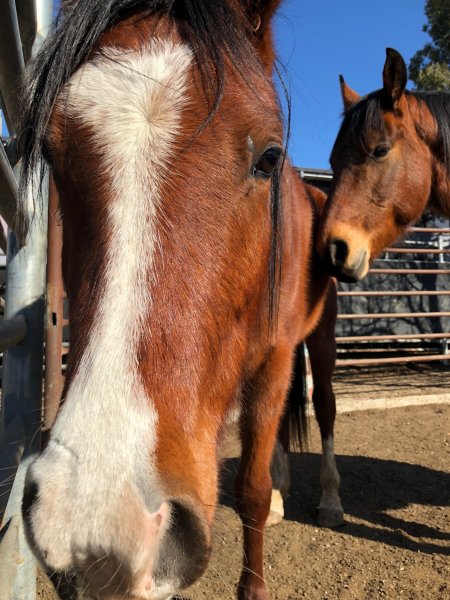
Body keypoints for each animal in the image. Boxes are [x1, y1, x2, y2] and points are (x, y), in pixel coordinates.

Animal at [18, 2, 342, 596]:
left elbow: (250, 489)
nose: (96, 537)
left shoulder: (276, 357)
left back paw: (328, 498)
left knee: (325, 406)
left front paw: (254, 585)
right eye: (52, 154)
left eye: (269, 157)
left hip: (321, 339)